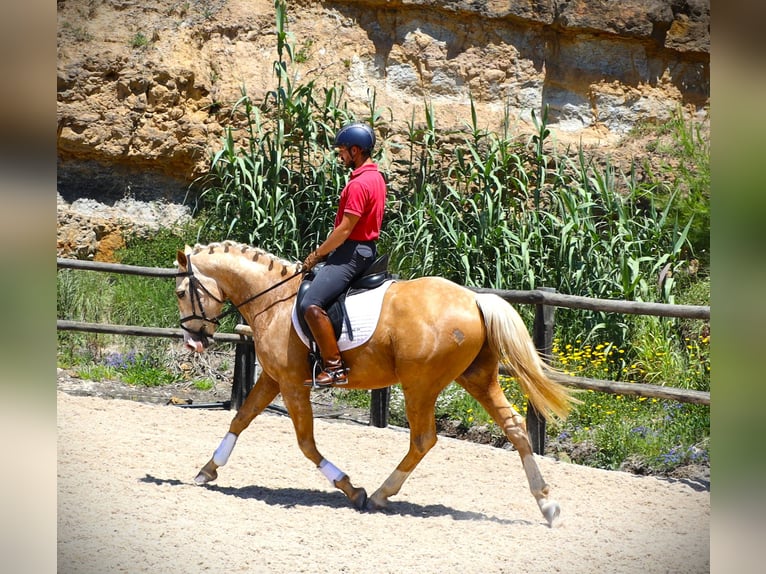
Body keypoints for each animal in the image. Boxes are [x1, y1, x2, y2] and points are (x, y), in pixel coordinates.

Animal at [176, 241, 576, 528]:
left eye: (180, 292)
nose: (194, 341)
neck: (273, 301)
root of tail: (475, 299)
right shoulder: (274, 378)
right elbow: (241, 418)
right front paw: (207, 470)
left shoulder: (292, 383)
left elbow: (306, 443)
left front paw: (352, 489)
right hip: (477, 377)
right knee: (515, 427)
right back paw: (548, 505)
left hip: (420, 384)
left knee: (423, 438)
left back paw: (382, 494)